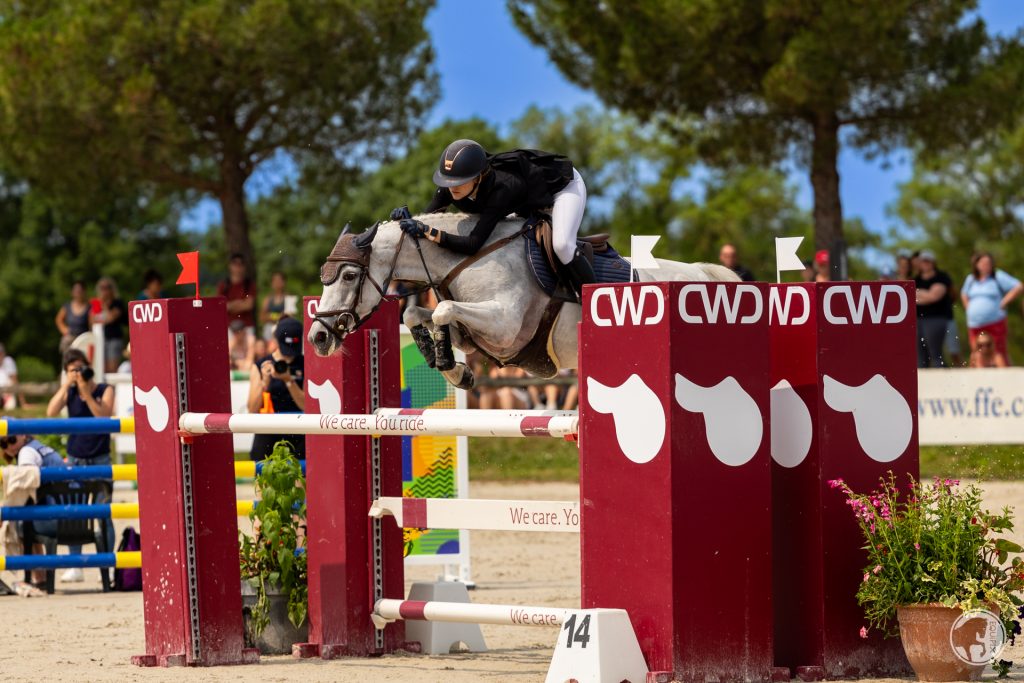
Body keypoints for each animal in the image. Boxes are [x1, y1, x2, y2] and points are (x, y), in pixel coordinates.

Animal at [303, 214, 737, 389]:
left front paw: (451, 368)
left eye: (349, 276)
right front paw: (451, 367)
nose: (318, 338)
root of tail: (703, 274)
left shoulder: (506, 327)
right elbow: (417, 313)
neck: (467, 257)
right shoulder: (477, 332)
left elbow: (441, 309)